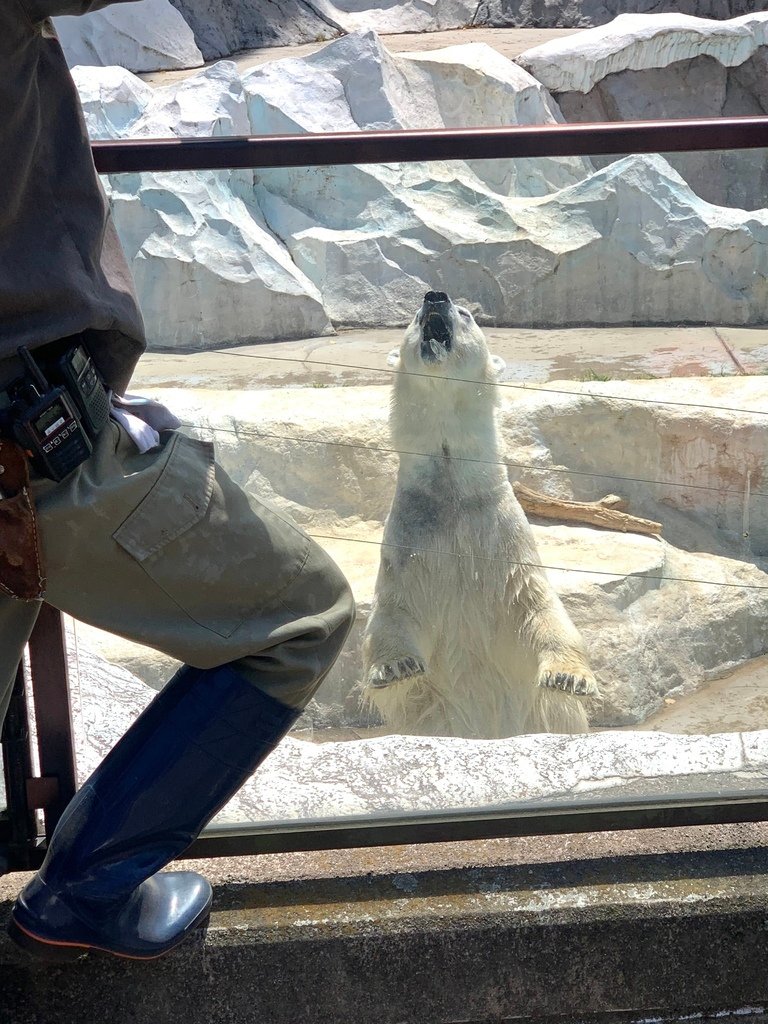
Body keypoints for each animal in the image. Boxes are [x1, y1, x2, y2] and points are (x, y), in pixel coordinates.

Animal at [362, 288, 602, 737]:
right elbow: (392, 608)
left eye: (466, 314)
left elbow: (540, 606)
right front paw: (395, 667)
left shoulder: (504, 539)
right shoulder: (408, 539)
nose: (434, 297)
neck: (452, 493)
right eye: (412, 317)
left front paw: (569, 677)